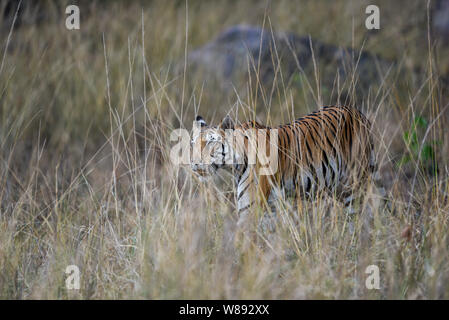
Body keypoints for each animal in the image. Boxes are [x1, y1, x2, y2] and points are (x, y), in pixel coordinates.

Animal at [191, 105, 376, 228]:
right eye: (193, 143)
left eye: (210, 142)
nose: (193, 163)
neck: (234, 165)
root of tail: (358, 113)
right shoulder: (270, 206)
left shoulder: (250, 207)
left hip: (353, 183)